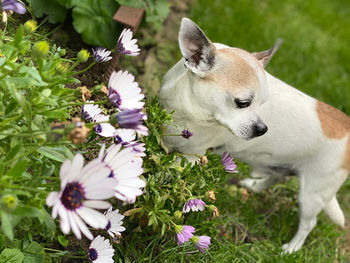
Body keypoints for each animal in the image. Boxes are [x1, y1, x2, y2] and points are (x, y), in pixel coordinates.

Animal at [159, 18, 350, 254]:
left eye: (263, 103)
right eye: (243, 103)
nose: (262, 129)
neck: (190, 111)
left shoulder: (189, 156)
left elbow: (167, 173)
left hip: (313, 193)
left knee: (309, 223)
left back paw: (291, 248)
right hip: (284, 166)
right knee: (276, 176)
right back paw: (254, 186)